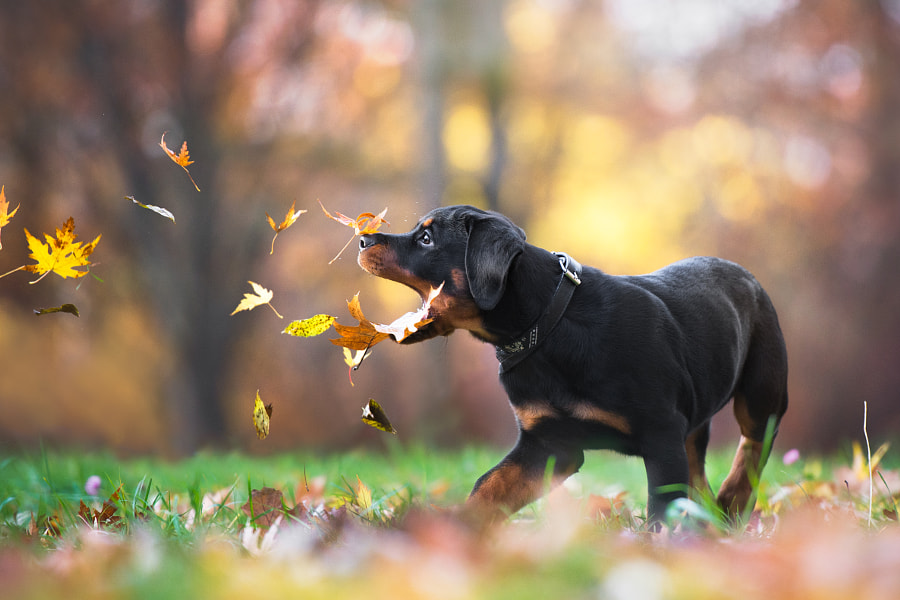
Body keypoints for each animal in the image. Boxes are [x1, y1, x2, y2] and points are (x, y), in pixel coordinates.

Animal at [358, 204, 788, 524]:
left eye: (426, 239)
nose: (362, 238)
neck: (546, 326)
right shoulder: (548, 443)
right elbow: (488, 489)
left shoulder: (661, 434)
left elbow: (661, 509)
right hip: (692, 419)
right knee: (699, 476)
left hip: (763, 387)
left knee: (754, 440)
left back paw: (734, 500)